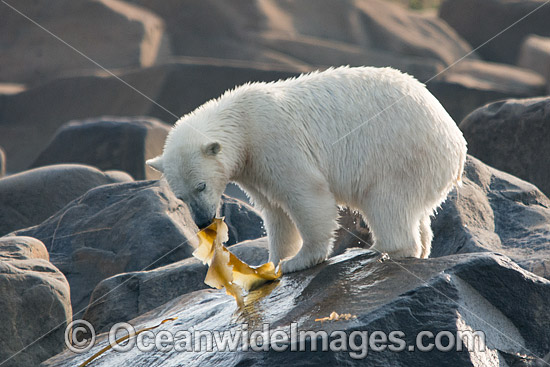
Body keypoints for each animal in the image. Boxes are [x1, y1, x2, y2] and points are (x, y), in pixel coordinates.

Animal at [149, 66, 468, 274]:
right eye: (180, 197)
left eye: (201, 186)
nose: (203, 222)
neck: (243, 120)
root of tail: (457, 146)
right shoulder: (255, 167)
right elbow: (274, 210)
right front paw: (272, 261)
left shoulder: (275, 140)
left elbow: (306, 194)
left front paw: (299, 261)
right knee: (415, 211)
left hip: (398, 153)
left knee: (385, 201)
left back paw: (379, 249)